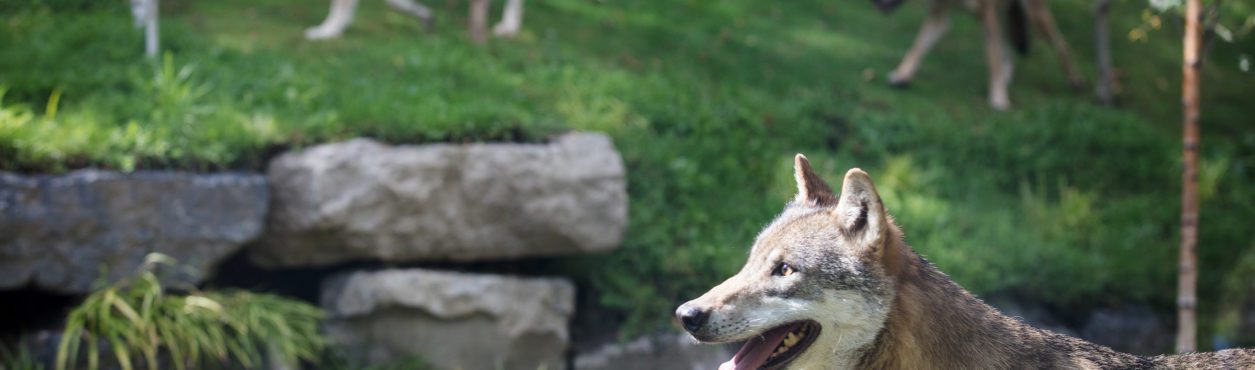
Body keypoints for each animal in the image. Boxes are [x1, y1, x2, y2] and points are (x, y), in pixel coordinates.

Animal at [873, 0, 1089, 110]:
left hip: (1035, 15)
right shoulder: (939, 16)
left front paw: (998, 98)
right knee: (1007, 47)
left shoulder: (987, 15)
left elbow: (992, 58)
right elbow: (917, 47)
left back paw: (1076, 80)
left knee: (1062, 44)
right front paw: (902, 75)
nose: (875, 3)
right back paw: (1006, 76)